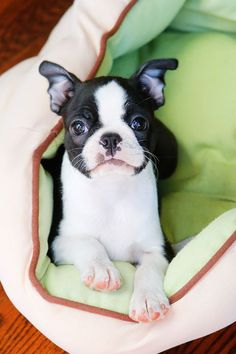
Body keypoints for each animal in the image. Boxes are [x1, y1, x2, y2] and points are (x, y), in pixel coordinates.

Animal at [39, 58, 178, 324]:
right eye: (78, 126)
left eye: (139, 123)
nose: (111, 138)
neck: (112, 188)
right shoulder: (58, 241)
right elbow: (88, 244)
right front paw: (101, 269)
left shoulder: (159, 248)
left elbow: (148, 269)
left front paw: (148, 300)